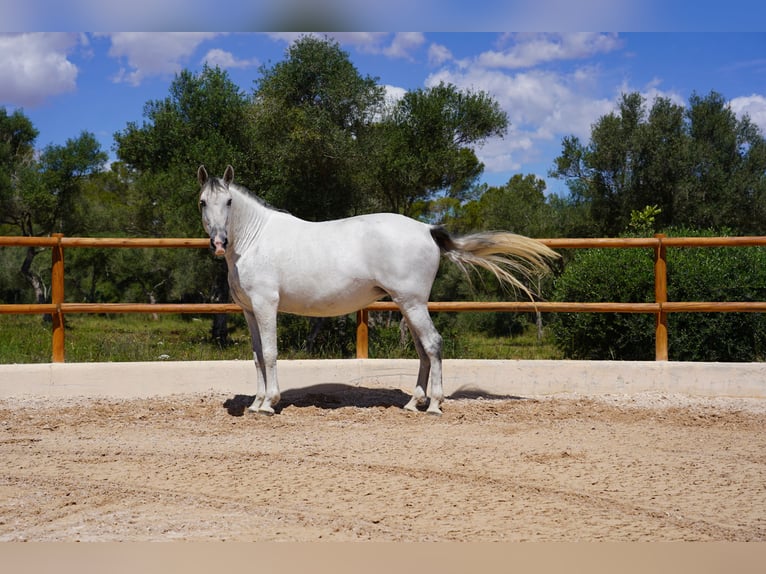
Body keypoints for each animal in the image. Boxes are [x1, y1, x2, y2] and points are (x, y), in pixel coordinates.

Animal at [198, 164, 560, 416]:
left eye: (229, 201)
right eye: (202, 202)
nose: (219, 243)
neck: (254, 239)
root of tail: (427, 230)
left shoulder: (266, 305)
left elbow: (271, 354)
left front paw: (269, 403)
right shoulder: (249, 310)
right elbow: (257, 356)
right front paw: (256, 403)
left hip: (413, 303)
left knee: (433, 344)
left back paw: (434, 405)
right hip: (406, 304)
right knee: (422, 349)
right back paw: (414, 403)